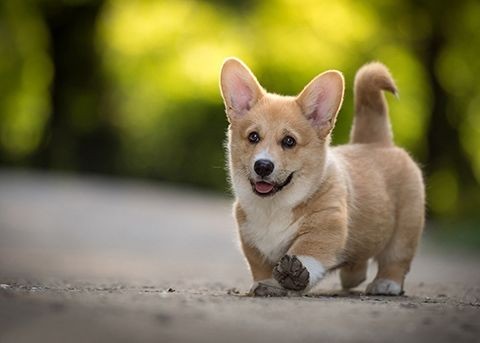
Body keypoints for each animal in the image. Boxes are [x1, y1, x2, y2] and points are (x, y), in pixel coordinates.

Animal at [220, 57, 424, 296]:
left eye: (289, 141)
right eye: (253, 137)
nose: (262, 166)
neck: (274, 206)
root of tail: (378, 143)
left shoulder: (326, 225)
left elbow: (308, 250)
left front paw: (294, 274)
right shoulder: (250, 240)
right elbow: (260, 267)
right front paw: (266, 284)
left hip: (405, 229)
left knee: (396, 259)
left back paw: (386, 283)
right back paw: (352, 276)